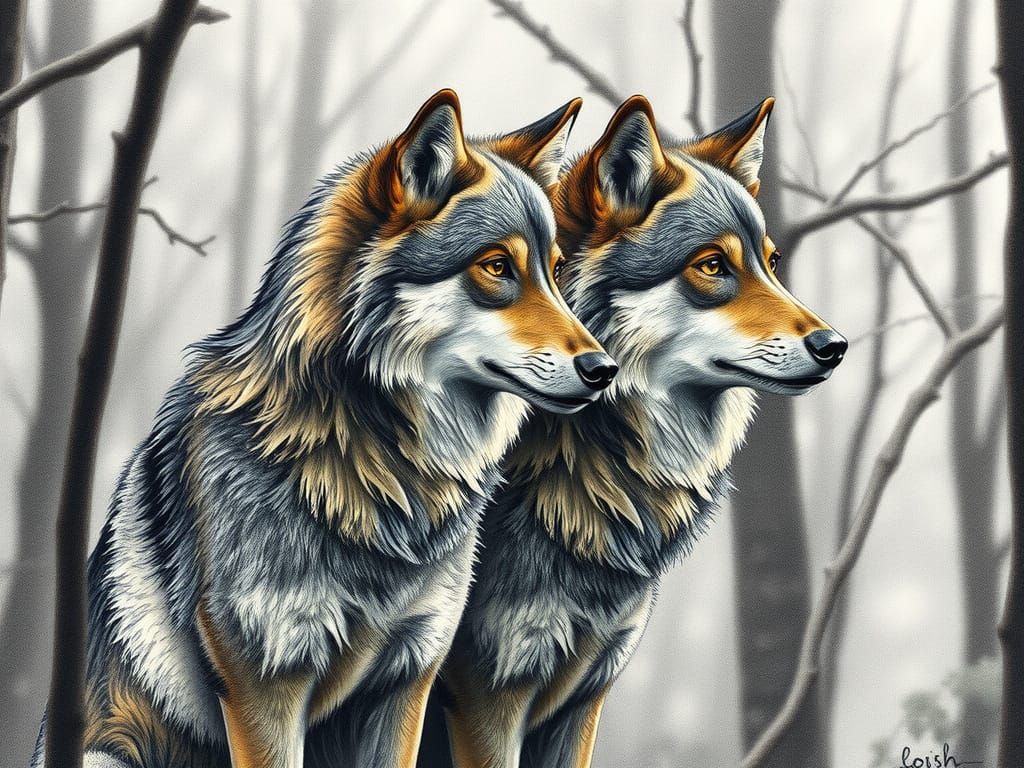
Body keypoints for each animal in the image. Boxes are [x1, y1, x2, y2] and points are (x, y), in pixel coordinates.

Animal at [31, 89, 619, 768]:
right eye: (497, 267)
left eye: (555, 271)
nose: (603, 369)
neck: (371, 462)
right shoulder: (265, 680)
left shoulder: (409, 675)